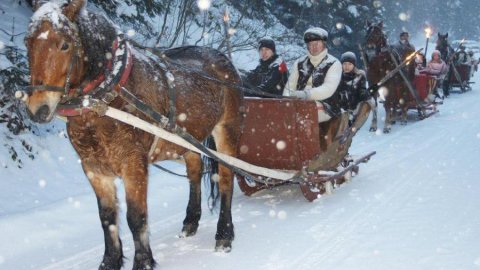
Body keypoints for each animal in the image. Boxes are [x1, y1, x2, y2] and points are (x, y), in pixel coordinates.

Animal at [24, 1, 242, 268]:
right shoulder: (94, 168)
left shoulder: (133, 164)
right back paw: (190, 222)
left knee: (226, 179)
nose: (38, 109)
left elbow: (136, 218)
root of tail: (223, 59)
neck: (105, 99)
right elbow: (107, 219)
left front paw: (143, 262)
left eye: (65, 44)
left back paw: (224, 234)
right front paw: (110, 261)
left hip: (227, 131)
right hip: (186, 138)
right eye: (28, 42)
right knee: (194, 171)